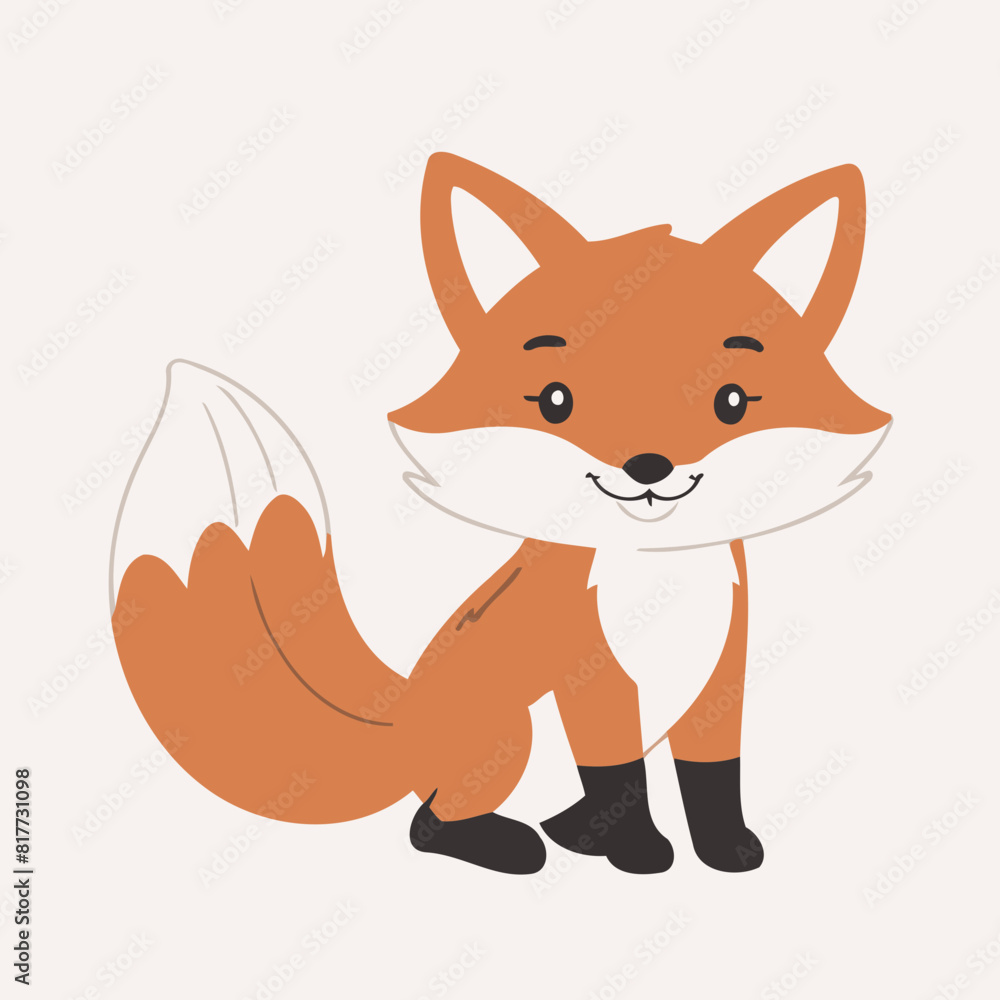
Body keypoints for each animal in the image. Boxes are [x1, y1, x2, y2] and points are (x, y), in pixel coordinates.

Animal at [109, 152, 891, 875]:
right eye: (554, 401)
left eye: (731, 401)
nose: (648, 467)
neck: (654, 579)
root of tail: (407, 717)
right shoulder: (593, 678)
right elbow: (620, 779)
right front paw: (639, 852)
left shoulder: (720, 680)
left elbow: (713, 780)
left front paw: (725, 849)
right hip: (514, 732)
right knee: (428, 824)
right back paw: (517, 844)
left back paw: (565, 834)